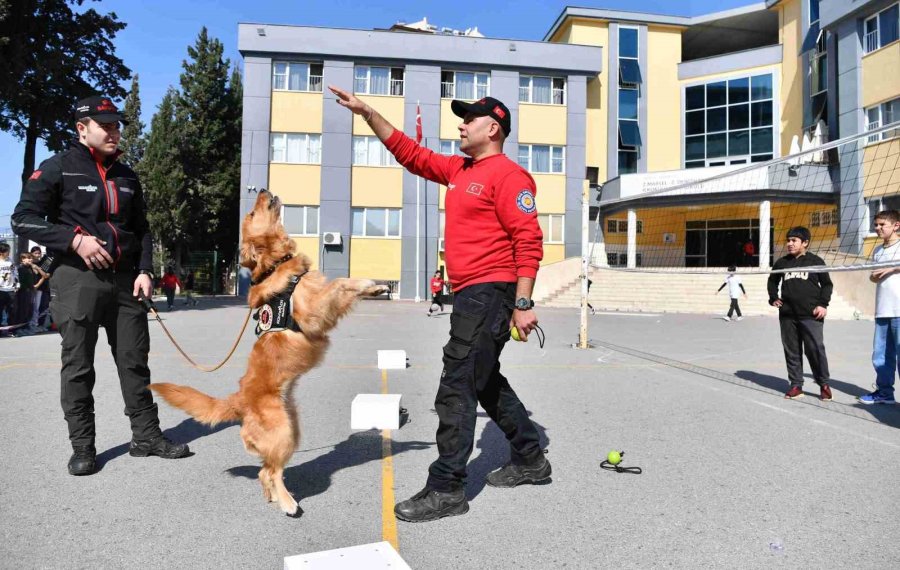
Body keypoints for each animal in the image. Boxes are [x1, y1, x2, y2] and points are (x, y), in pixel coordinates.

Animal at [149, 190, 386, 516]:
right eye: (251, 214)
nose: (262, 190)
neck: (277, 264)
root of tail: (238, 399)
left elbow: (347, 282)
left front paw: (376, 287)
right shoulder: (313, 312)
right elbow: (340, 282)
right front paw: (370, 285)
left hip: (292, 429)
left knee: (266, 471)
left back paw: (275, 497)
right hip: (283, 432)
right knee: (270, 471)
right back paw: (288, 504)